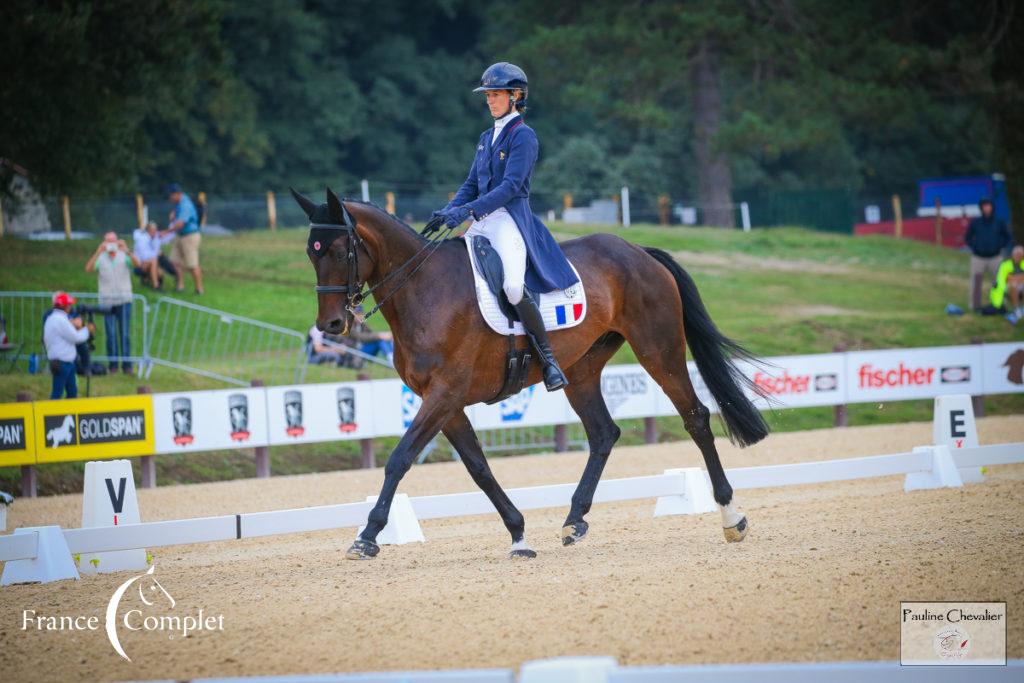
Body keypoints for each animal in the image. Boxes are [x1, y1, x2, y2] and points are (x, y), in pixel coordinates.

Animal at [290, 188, 770, 561]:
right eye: (311, 254)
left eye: (339, 251)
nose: (331, 325)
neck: (423, 290)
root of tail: (638, 251)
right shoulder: (446, 402)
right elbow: (479, 468)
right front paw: (518, 534)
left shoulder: (444, 395)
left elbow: (400, 459)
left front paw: (367, 536)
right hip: (581, 368)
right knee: (603, 433)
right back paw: (574, 521)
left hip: (659, 349)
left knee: (695, 418)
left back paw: (731, 517)